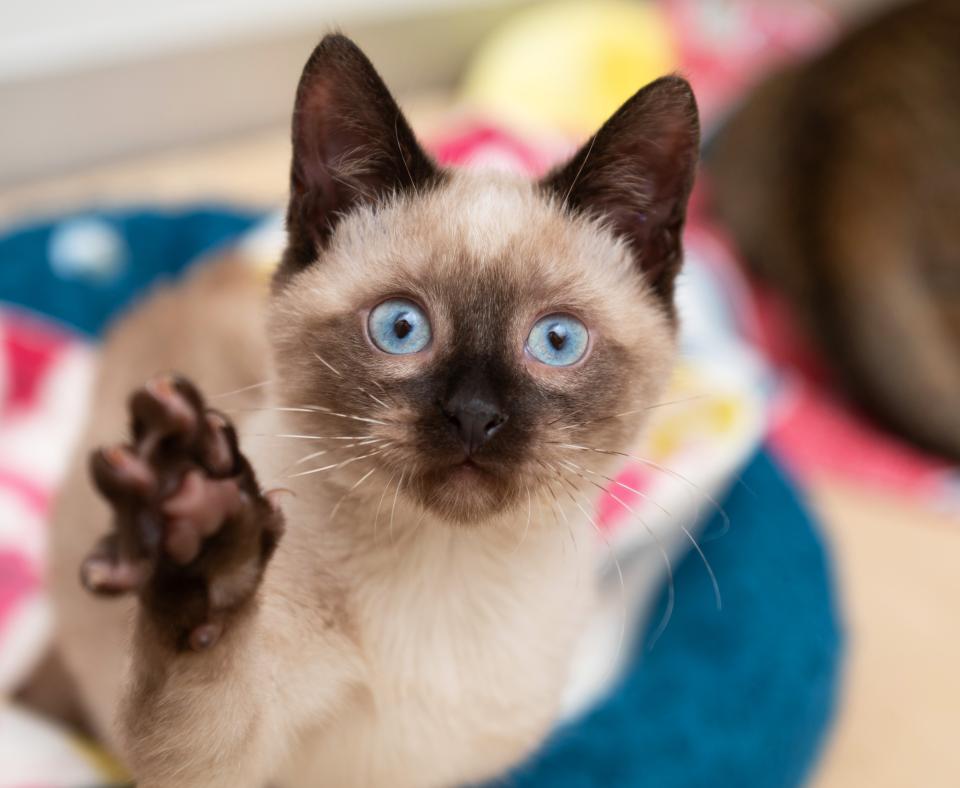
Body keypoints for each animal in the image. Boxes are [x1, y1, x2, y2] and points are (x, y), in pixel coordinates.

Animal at [48, 33, 696, 784]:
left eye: (557, 341)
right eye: (401, 328)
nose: (474, 415)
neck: (446, 572)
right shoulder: (229, 760)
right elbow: (200, 693)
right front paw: (200, 529)